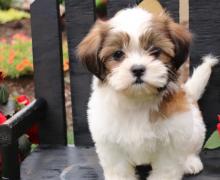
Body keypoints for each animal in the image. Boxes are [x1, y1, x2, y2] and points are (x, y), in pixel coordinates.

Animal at [76, 7, 219, 180]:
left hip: (195, 129)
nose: (138, 69)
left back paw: (190, 162)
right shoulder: (110, 143)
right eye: (118, 54)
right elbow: (119, 169)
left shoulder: (172, 140)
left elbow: (166, 169)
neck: (138, 100)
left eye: (155, 51)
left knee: (191, 148)